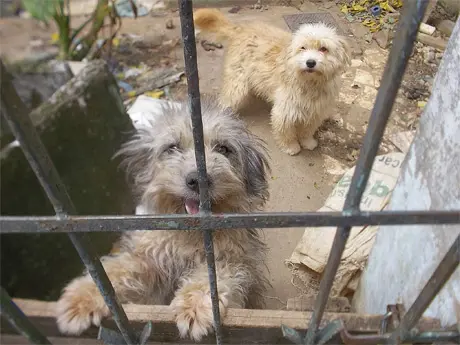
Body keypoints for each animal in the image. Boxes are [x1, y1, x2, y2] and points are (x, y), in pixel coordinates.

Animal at [54, 97, 272, 342]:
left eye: (224, 149)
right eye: (172, 147)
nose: (198, 180)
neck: (191, 235)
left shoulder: (236, 261)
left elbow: (214, 276)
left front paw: (194, 306)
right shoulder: (149, 256)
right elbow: (117, 270)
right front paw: (82, 297)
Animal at [195, 8, 352, 155]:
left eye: (323, 49)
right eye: (302, 48)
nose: (310, 62)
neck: (310, 82)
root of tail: (241, 28)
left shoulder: (316, 111)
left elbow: (307, 129)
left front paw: (307, 141)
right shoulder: (285, 110)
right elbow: (286, 131)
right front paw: (290, 146)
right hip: (237, 84)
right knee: (225, 101)